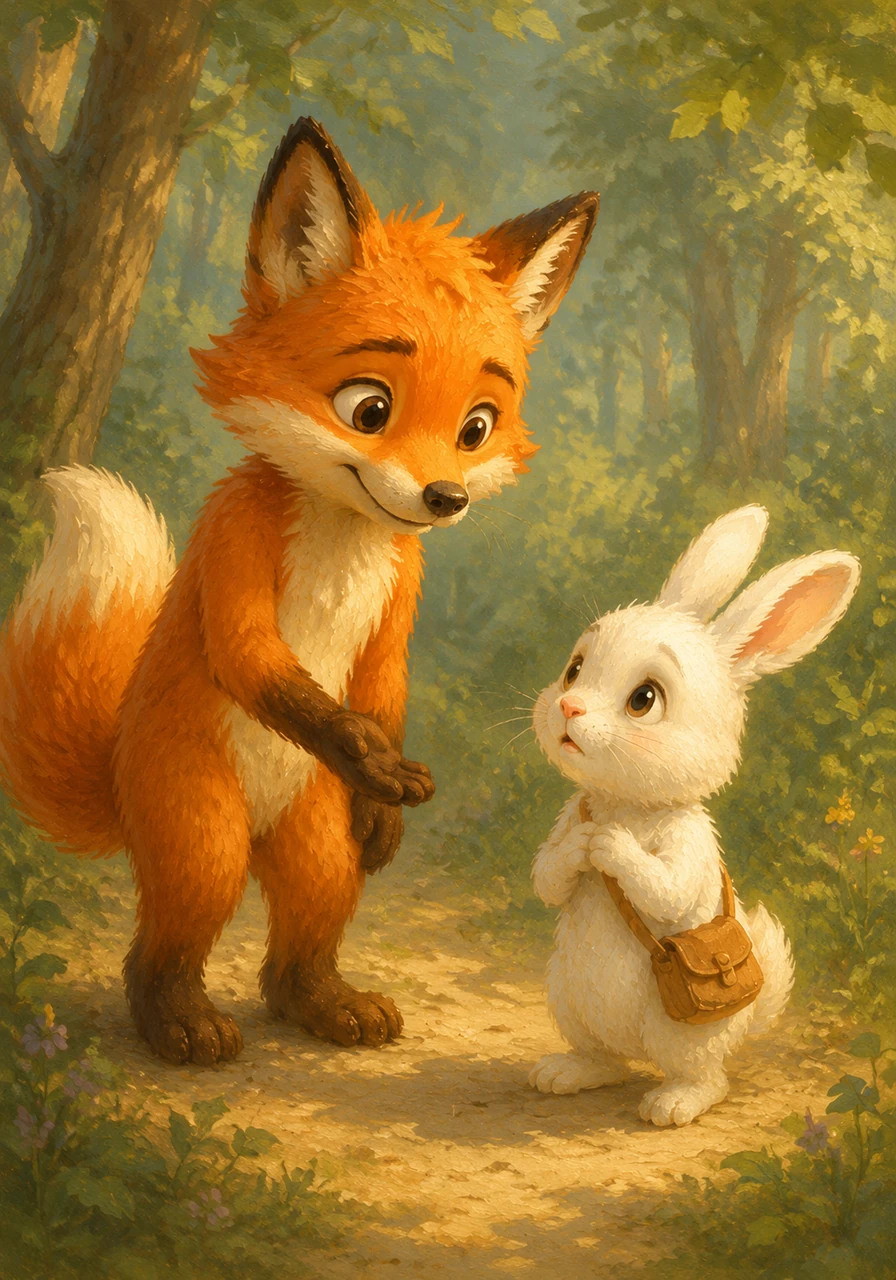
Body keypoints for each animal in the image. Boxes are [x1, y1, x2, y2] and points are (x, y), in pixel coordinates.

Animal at [528, 505, 860, 1126]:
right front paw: (582, 844)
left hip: (684, 1034)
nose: (568, 706)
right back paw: (563, 1073)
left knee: (707, 1079)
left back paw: (671, 1105)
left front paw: (607, 844)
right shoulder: (562, 825)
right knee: (605, 1060)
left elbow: (669, 892)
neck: (627, 802)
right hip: (568, 998)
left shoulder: (690, 843)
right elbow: (547, 877)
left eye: (644, 699)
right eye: (575, 669)